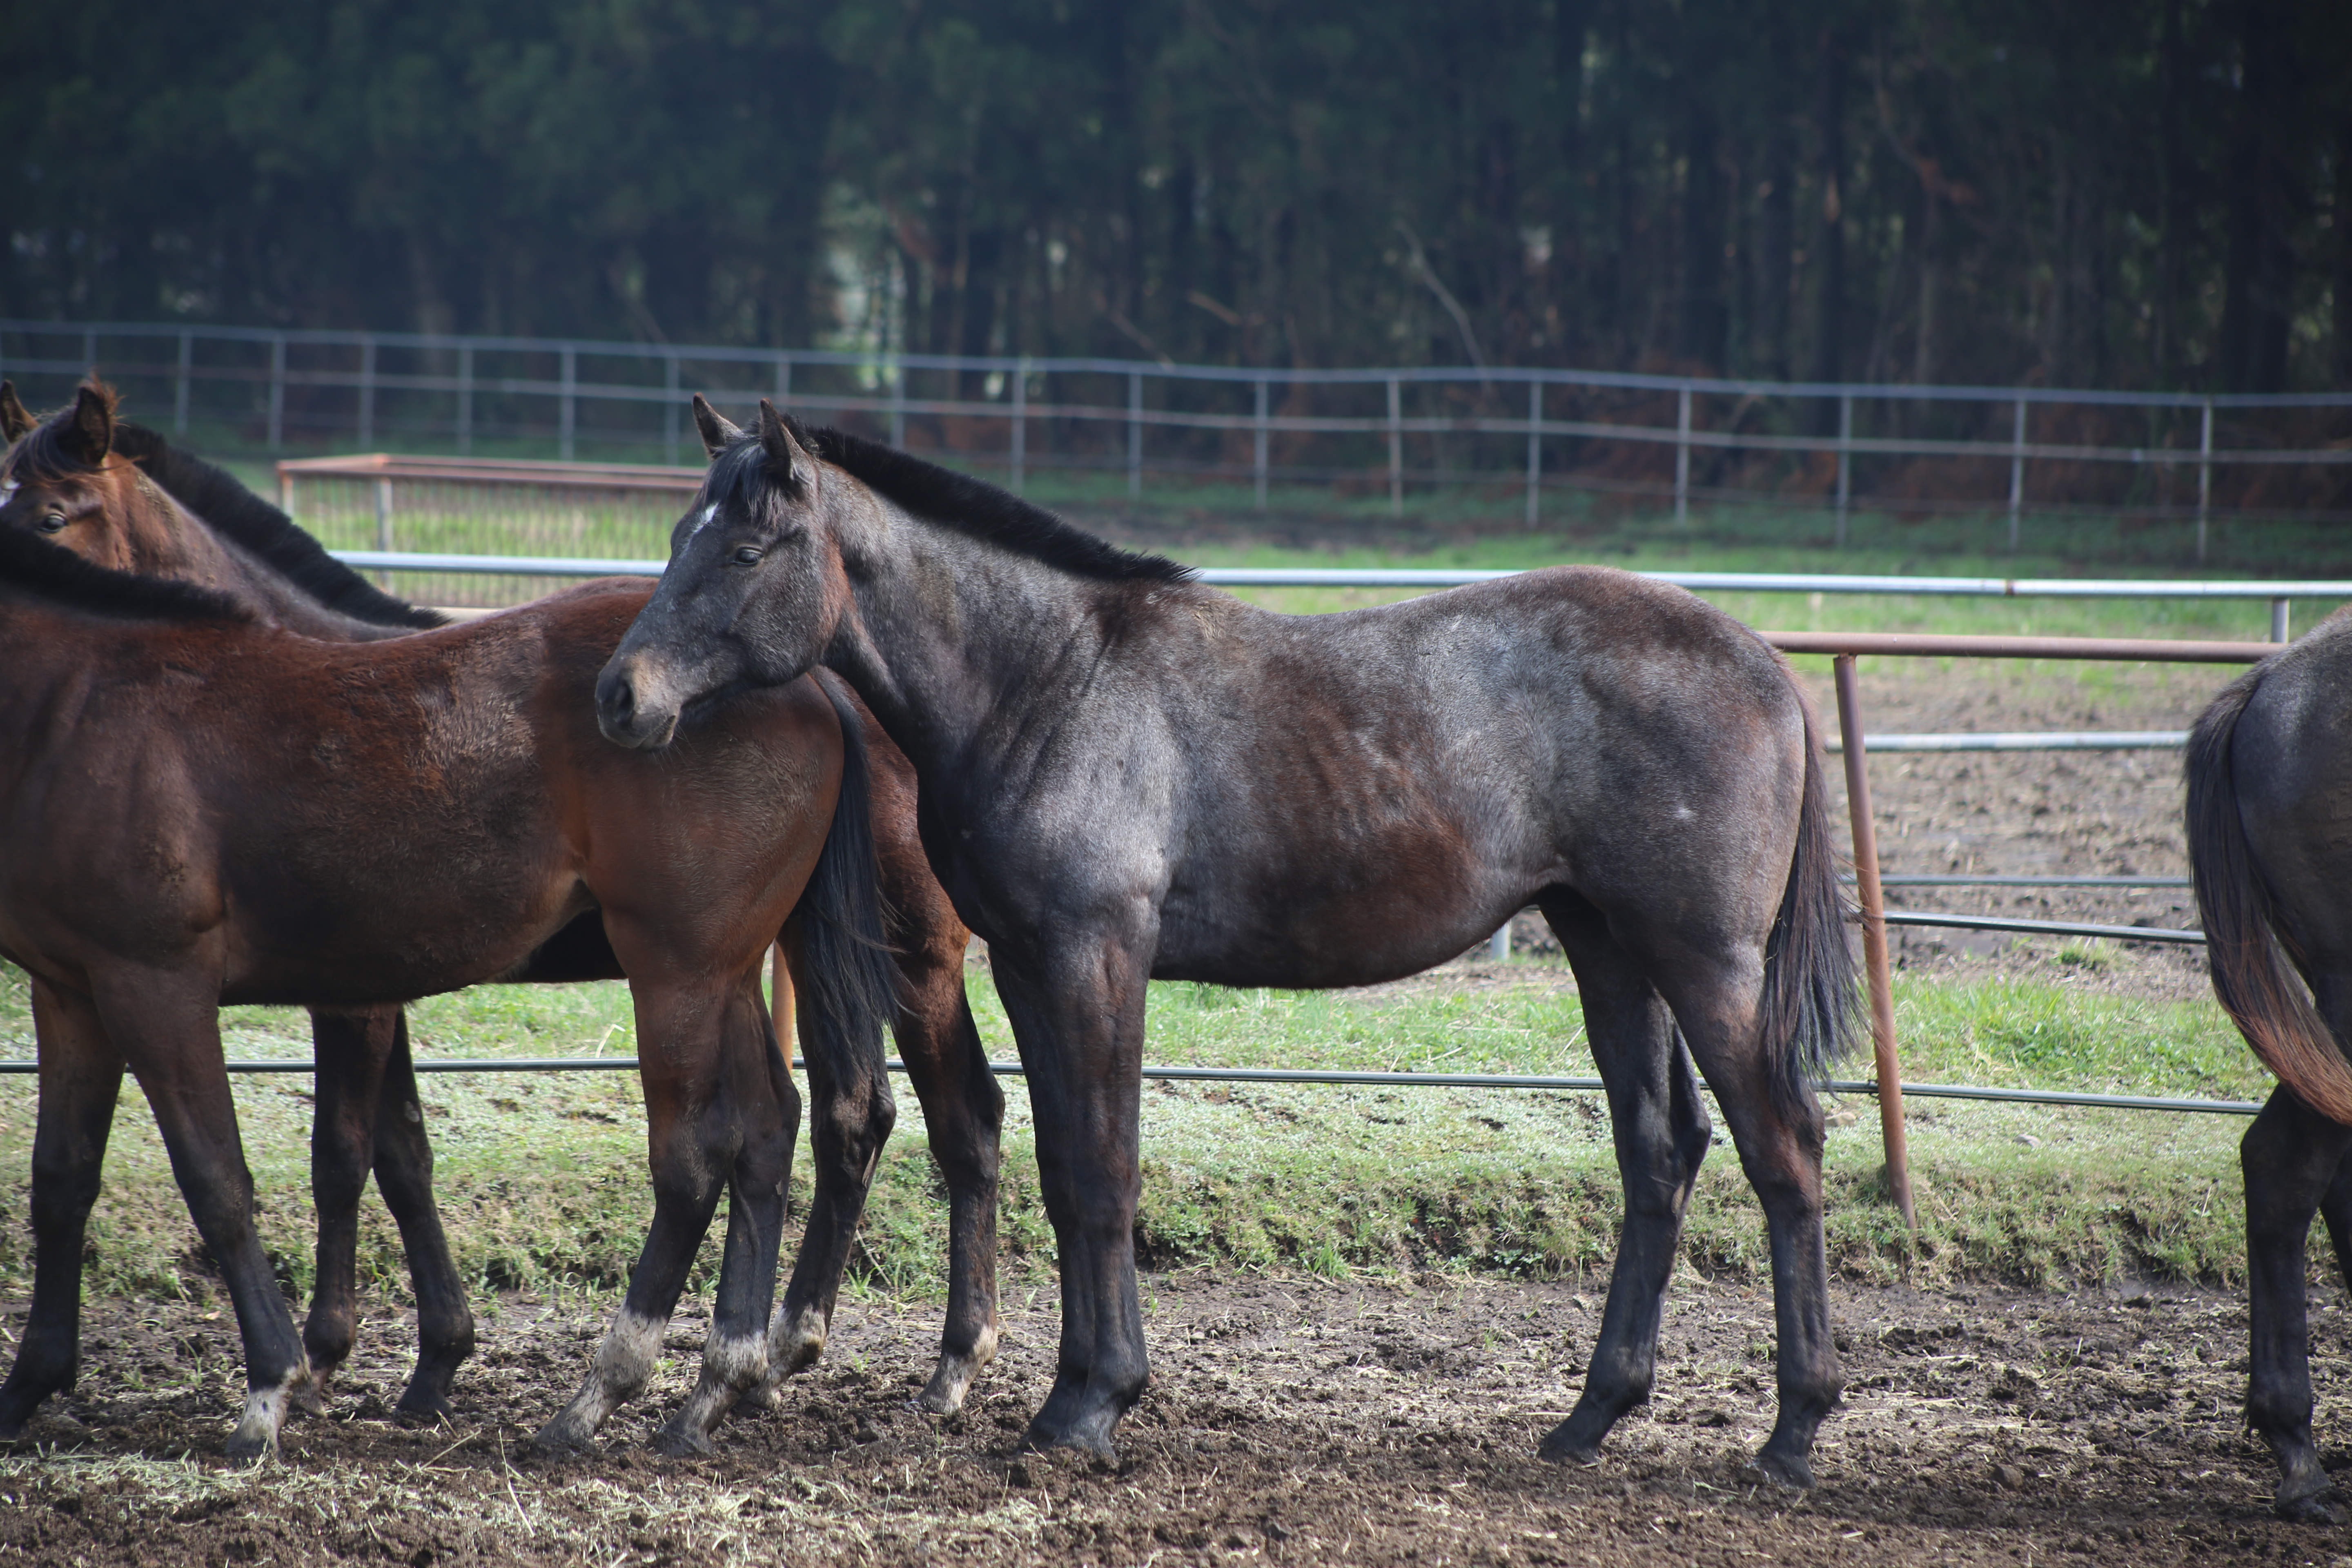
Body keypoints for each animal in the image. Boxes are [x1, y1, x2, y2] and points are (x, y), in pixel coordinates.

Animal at [0, 385, 1007, 1457]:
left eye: (52, 516)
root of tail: (820, 685)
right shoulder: (122, 987)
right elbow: (371, 1154)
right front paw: (428, 1359)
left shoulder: (254, 991)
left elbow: (317, 1160)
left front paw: (312, 1364)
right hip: (764, 960)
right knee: (813, 1122)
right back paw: (750, 1370)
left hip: (834, 961)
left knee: (895, 1127)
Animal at [588, 399, 1853, 1495]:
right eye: (679, 536)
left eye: (747, 549)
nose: (620, 697)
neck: (1047, 679)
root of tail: (1765, 662)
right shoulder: (1031, 964)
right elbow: (1065, 1169)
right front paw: (1070, 1394)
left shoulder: (1098, 955)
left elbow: (1105, 1170)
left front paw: (1096, 1404)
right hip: (1610, 951)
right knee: (1659, 1150)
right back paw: (1592, 1416)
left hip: (1705, 963)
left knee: (1782, 1148)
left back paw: (1794, 1430)